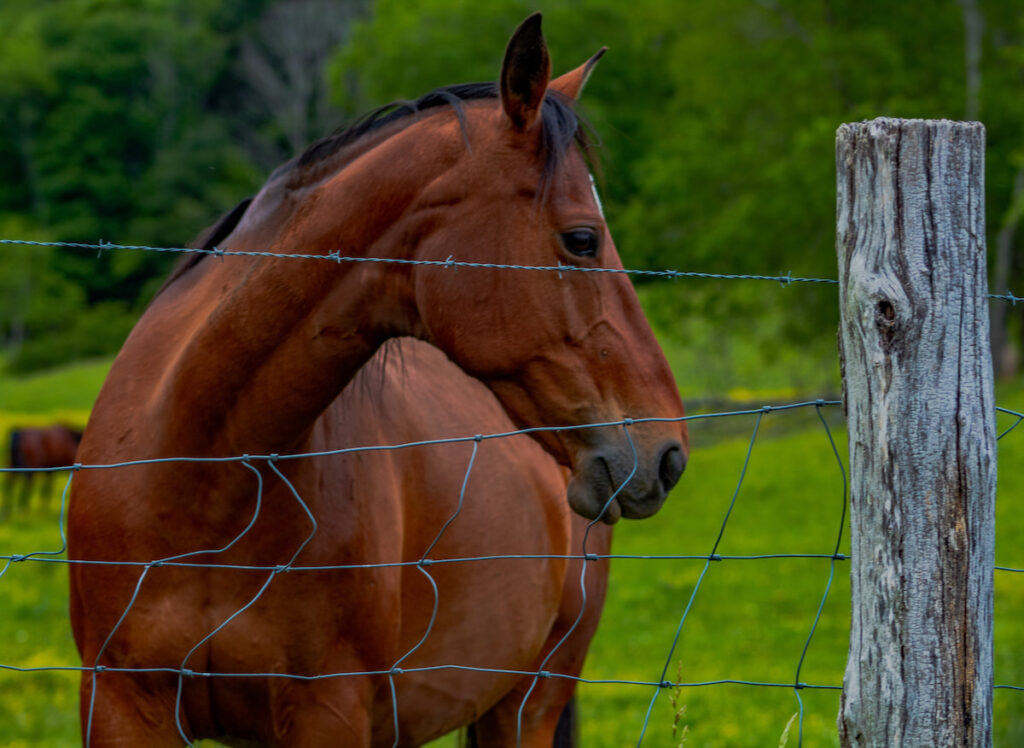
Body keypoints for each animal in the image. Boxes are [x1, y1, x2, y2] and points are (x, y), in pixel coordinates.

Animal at [70, 13, 688, 745]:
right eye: (582, 239)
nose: (668, 452)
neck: (204, 476)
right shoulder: (119, 700)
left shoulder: (328, 709)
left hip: (526, 704)